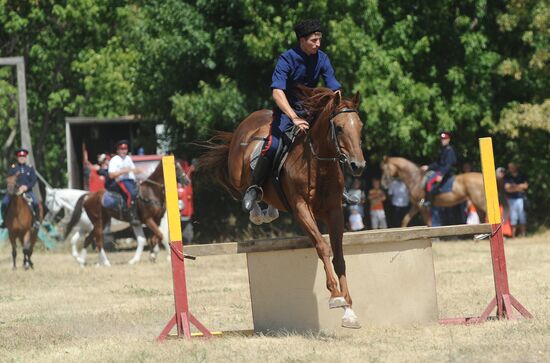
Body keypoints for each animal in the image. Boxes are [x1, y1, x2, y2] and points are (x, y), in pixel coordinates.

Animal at [202, 87, 366, 330]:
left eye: (360, 126)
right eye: (339, 127)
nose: (358, 166)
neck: (318, 165)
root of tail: (249, 120)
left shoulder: (334, 211)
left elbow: (339, 256)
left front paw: (349, 310)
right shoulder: (301, 209)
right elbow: (322, 246)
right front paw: (336, 297)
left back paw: (269, 211)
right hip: (238, 173)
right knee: (245, 188)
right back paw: (255, 209)